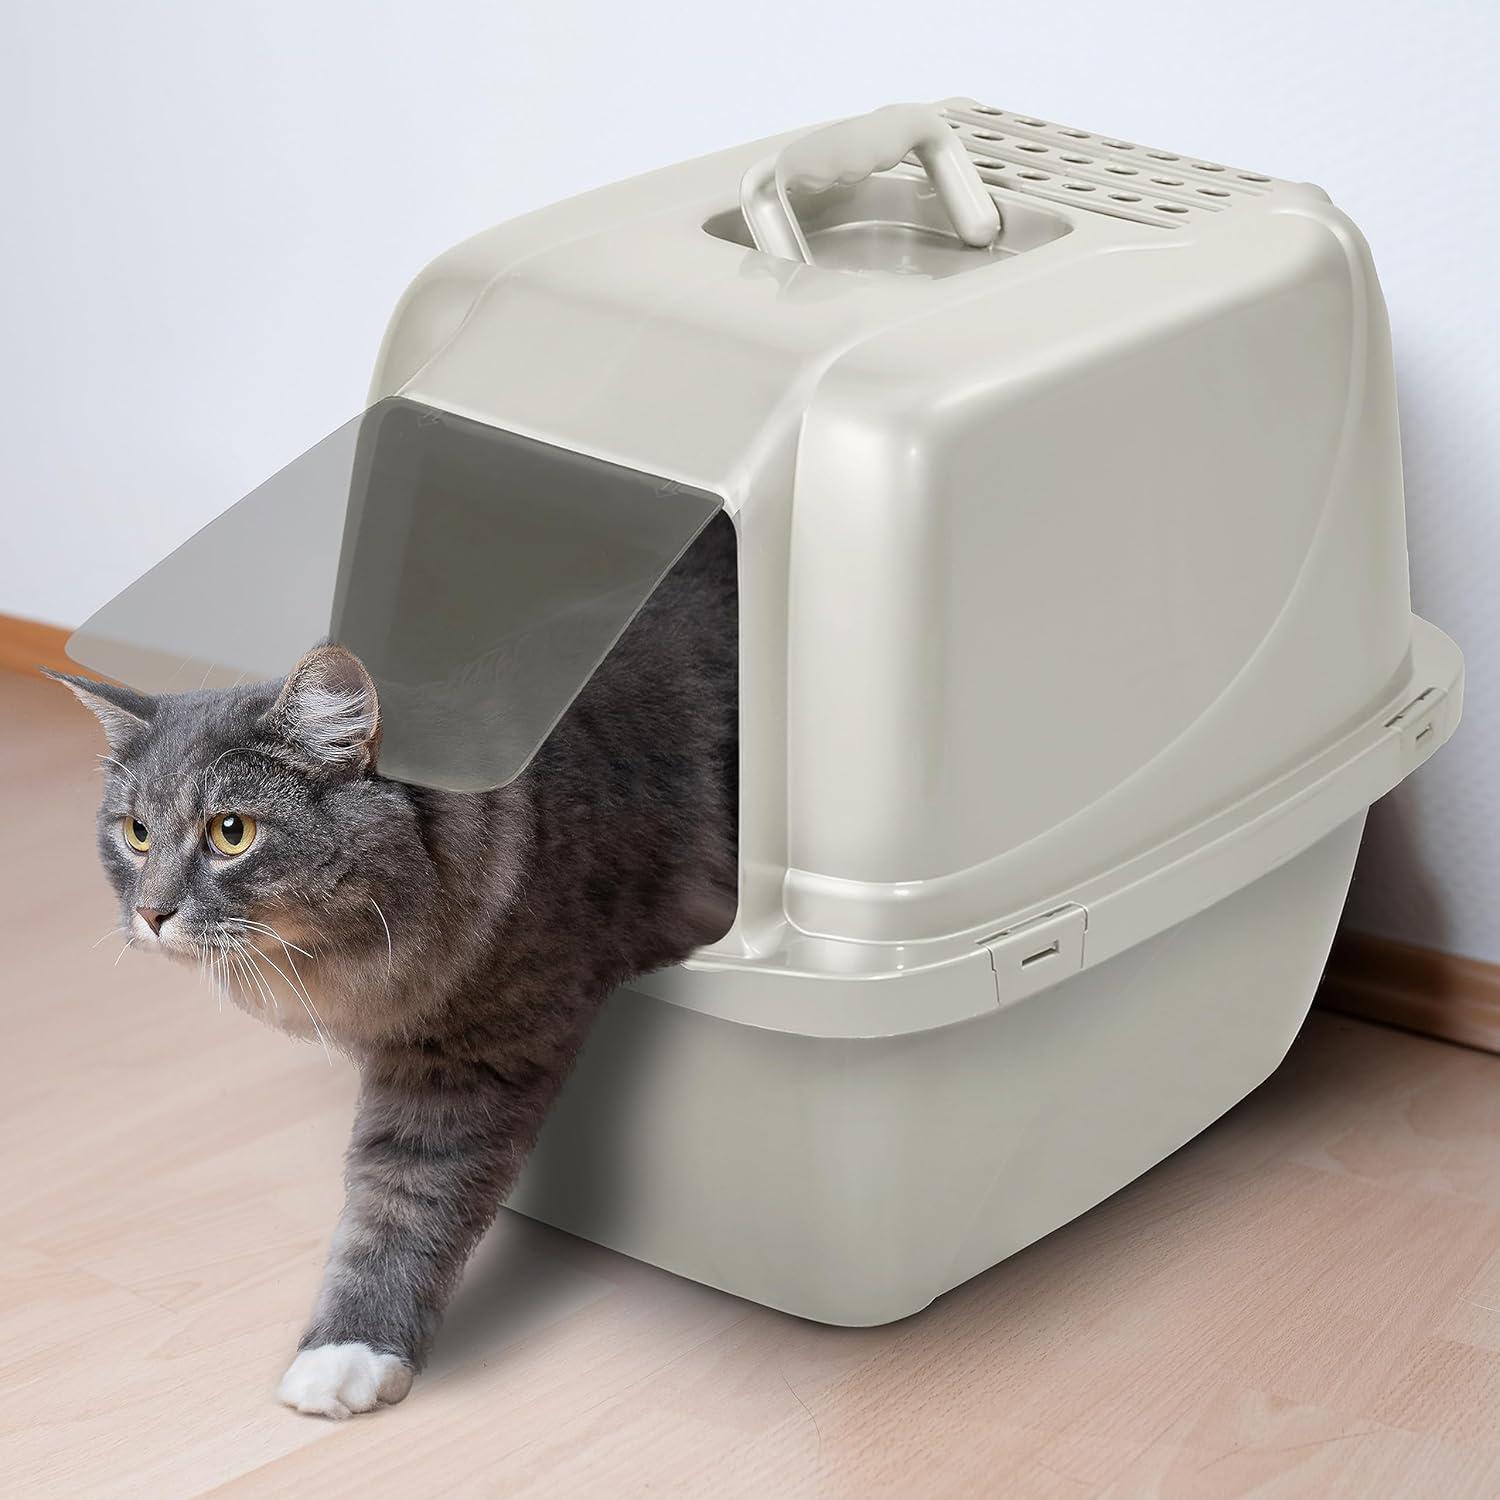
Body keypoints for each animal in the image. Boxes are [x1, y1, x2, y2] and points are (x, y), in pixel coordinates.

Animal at [49, 513, 741, 1416]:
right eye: (134, 833)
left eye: (232, 832)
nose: (151, 914)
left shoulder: (468, 1054)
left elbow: (401, 1205)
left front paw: (347, 1354)